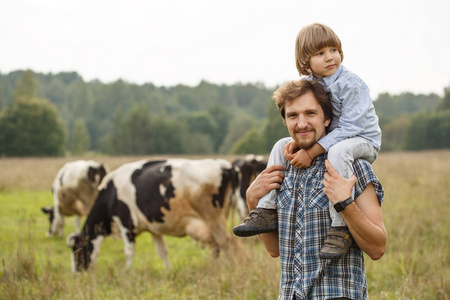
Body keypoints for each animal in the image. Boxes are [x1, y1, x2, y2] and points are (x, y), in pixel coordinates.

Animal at [66, 158, 237, 270]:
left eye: (77, 250)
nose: (76, 273)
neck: (111, 195)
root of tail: (223, 165)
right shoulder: (154, 230)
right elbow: (162, 252)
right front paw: (169, 271)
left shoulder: (127, 225)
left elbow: (129, 252)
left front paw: (127, 273)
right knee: (217, 246)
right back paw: (215, 267)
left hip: (213, 218)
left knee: (224, 243)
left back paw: (228, 267)